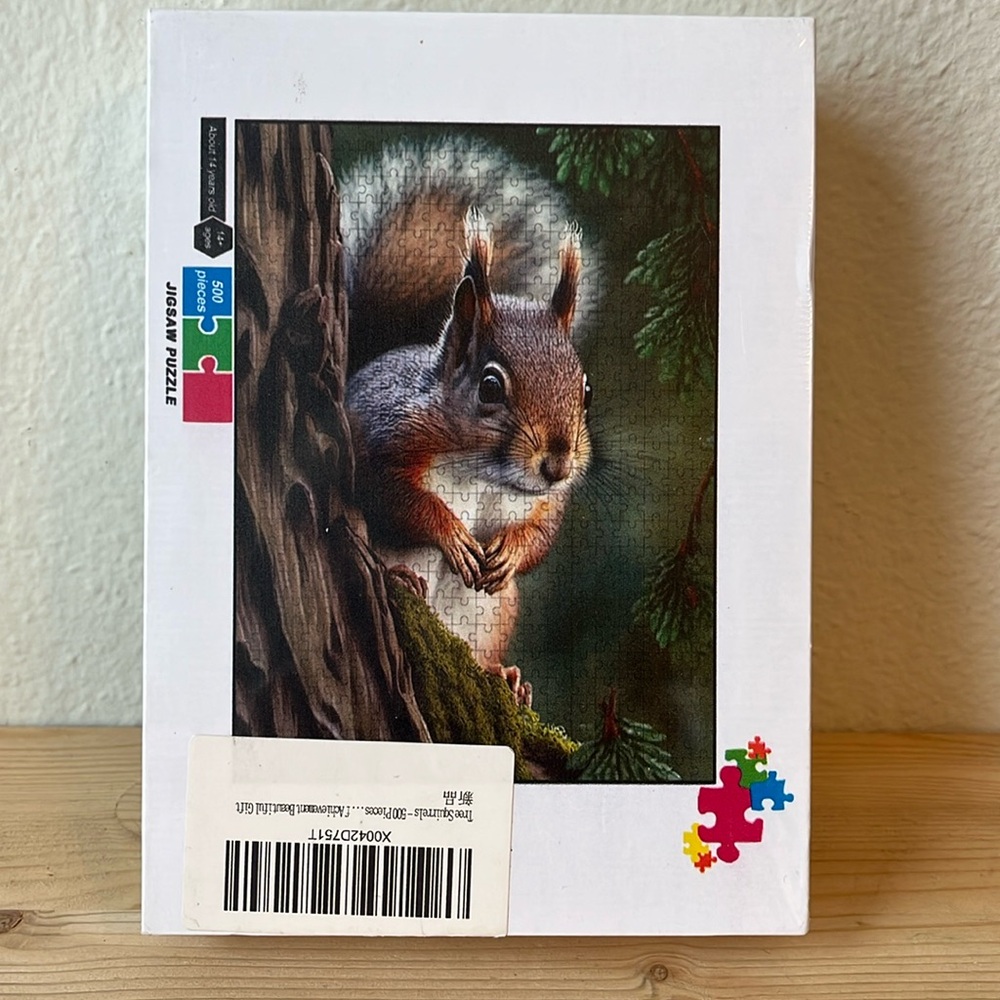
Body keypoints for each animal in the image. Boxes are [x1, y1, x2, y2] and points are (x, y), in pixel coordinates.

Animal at [342, 138, 597, 706]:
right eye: (490, 387)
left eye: (586, 390)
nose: (558, 465)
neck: (484, 471)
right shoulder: (385, 433)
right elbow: (390, 494)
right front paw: (452, 533)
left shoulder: (546, 501)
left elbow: (543, 531)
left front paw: (510, 551)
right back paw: (400, 577)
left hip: (494, 612)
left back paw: (505, 676)